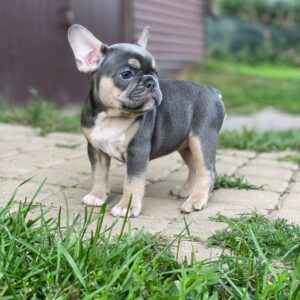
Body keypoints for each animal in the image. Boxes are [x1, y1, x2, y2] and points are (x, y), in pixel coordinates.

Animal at [67, 24, 224, 217]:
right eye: (126, 74)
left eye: (156, 73)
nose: (151, 81)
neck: (113, 117)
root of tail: (213, 91)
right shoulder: (96, 150)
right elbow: (99, 174)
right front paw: (97, 196)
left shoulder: (137, 151)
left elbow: (132, 182)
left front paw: (126, 207)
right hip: (186, 144)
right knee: (195, 167)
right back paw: (185, 191)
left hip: (202, 139)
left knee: (207, 171)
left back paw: (196, 200)